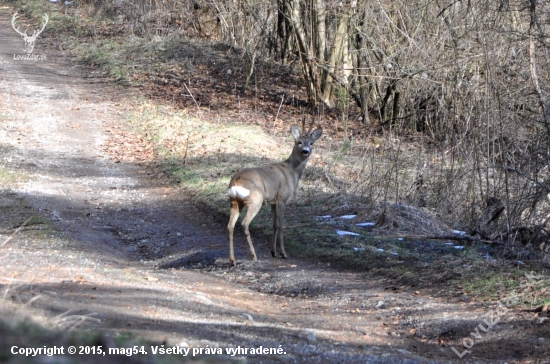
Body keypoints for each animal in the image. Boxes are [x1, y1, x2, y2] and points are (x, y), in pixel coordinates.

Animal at [229, 123, 324, 266]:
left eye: (311, 143)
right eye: (299, 142)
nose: (305, 151)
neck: (292, 172)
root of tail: (236, 181)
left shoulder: (272, 202)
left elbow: (273, 225)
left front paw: (273, 252)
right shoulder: (282, 199)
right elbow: (281, 226)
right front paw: (283, 253)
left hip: (234, 202)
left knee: (230, 226)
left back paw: (232, 260)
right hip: (255, 200)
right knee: (244, 223)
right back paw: (253, 256)